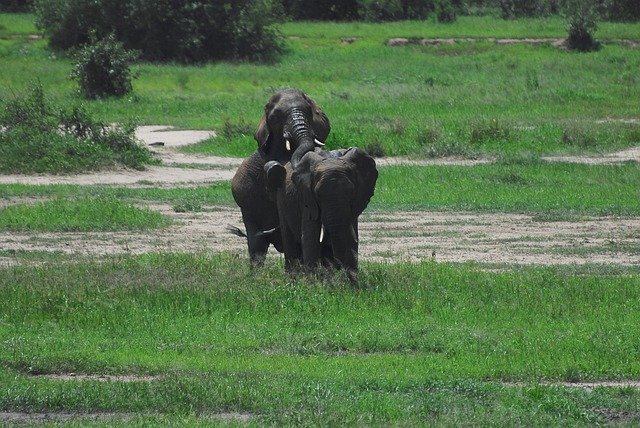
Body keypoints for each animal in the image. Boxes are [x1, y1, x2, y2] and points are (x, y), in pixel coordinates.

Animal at [272, 147, 378, 284]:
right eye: (317, 194)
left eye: (351, 192)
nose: (339, 268)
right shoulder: (307, 199)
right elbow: (310, 237)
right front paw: (313, 284)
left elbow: (351, 237)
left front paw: (352, 284)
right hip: (281, 200)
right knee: (289, 241)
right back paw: (292, 281)